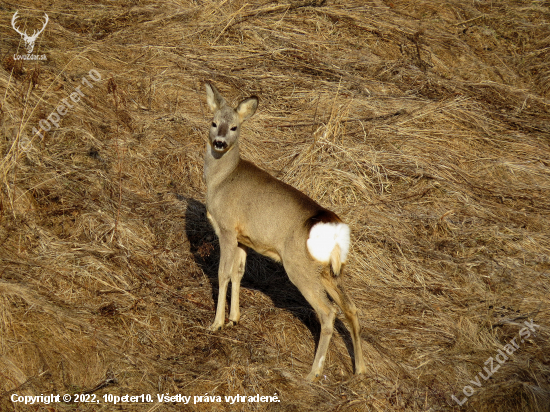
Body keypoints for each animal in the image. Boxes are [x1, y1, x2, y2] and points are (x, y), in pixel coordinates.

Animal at [203, 82, 366, 382]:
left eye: (234, 127)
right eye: (214, 122)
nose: (219, 142)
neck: (221, 180)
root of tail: (336, 228)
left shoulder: (227, 229)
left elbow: (222, 274)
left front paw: (217, 323)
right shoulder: (244, 239)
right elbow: (238, 273)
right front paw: (234, 319)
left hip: (299, 265)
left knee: (328, 312)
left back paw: (314, 373)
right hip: (329, 271)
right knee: (351, 308)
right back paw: (360, 369)